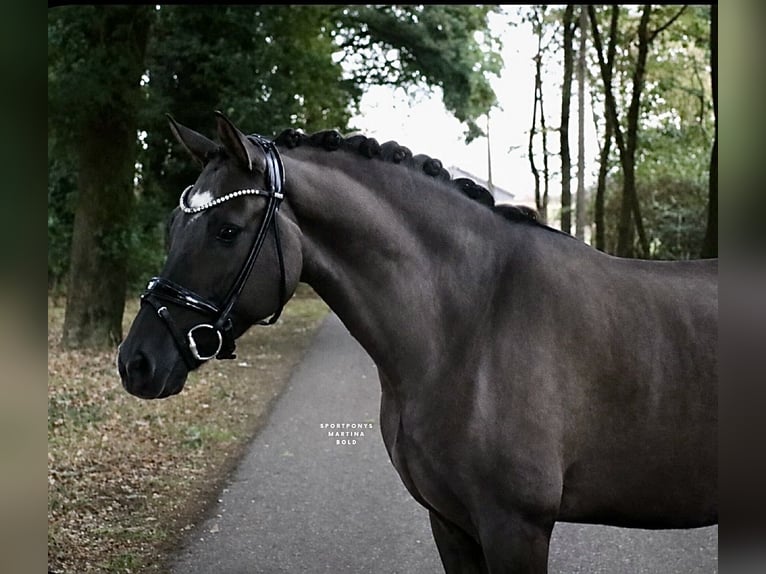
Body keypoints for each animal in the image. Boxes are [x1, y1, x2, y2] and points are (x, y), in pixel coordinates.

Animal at [117, 112, 718, 573]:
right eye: (172, 225)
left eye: (227, 230)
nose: (136, 362)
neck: (472, 325)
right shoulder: (450, 522)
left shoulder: (516, 527)